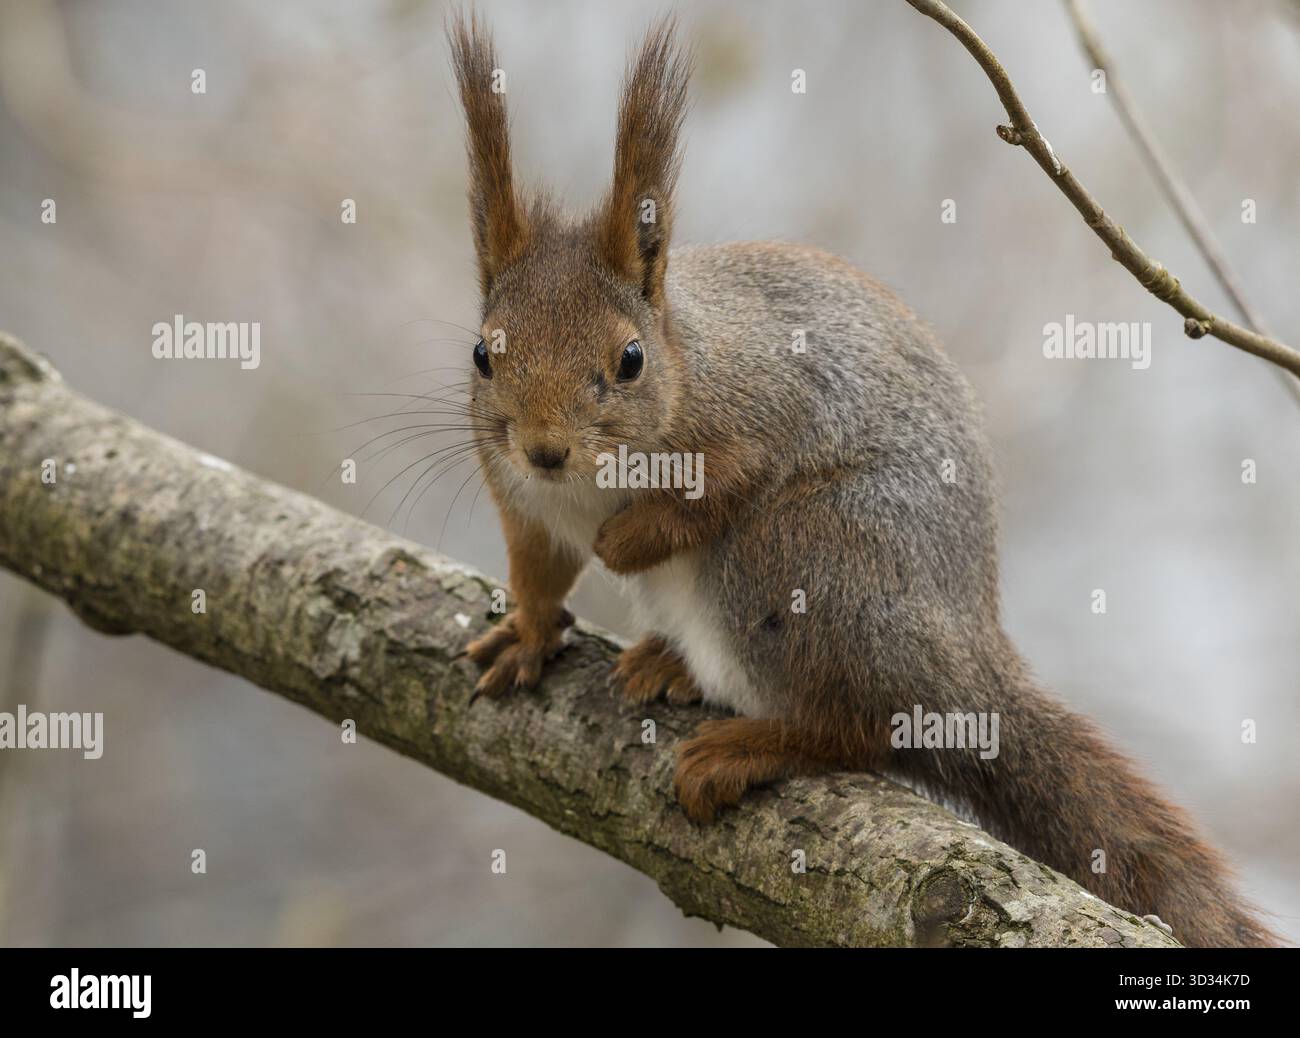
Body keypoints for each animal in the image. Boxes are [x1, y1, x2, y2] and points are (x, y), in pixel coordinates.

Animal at [448, 13, 1278, 948]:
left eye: (629, 359)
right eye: (483, 353)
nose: (545, 449)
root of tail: (967, 667)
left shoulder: (757, 410)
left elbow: (721, 487)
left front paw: (627, 539)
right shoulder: (517, 494)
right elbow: (536, 568)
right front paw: (526, 632)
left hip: (804, 556)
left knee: (864, 727)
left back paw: (757, 743)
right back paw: (671, 663)